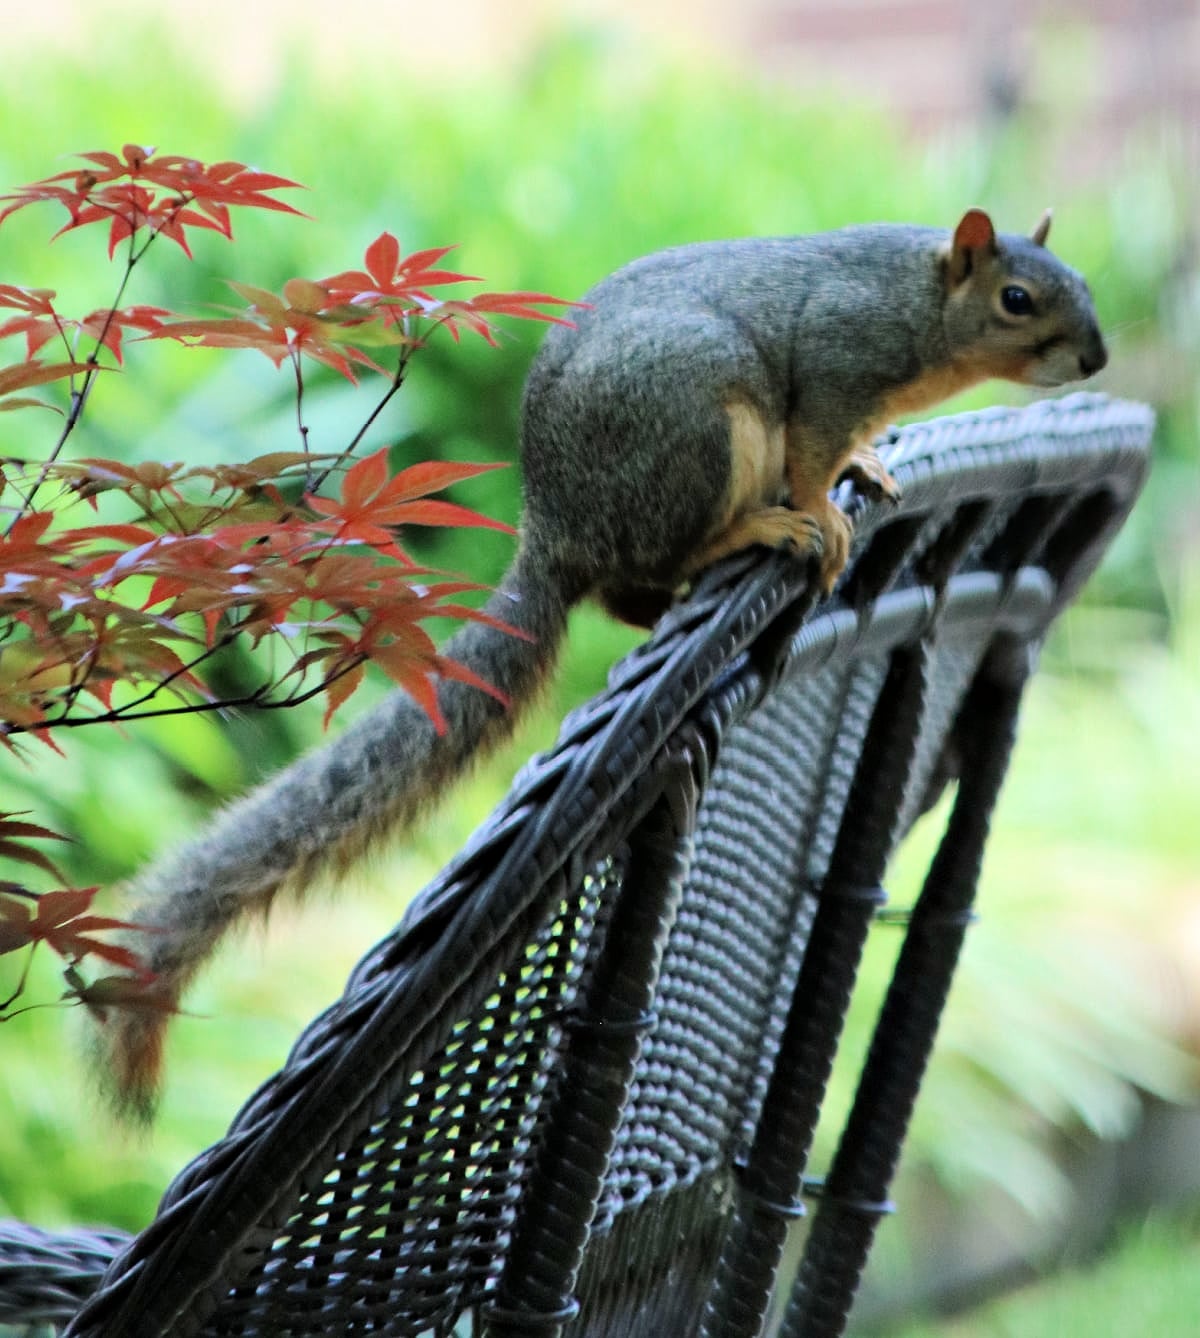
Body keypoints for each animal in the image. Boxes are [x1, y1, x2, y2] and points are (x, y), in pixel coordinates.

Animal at [94, 208, 1107, 1118]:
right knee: (655, 564)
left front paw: (873, 466)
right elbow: (819, 448)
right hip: (700, 424)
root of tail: (558, 527)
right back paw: (761, 528)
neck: (918, 302)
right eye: (1017, 299)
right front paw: (825, 508)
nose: (1095, 360)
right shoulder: (833, 360)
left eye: (1081, 287)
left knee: (631, 597)